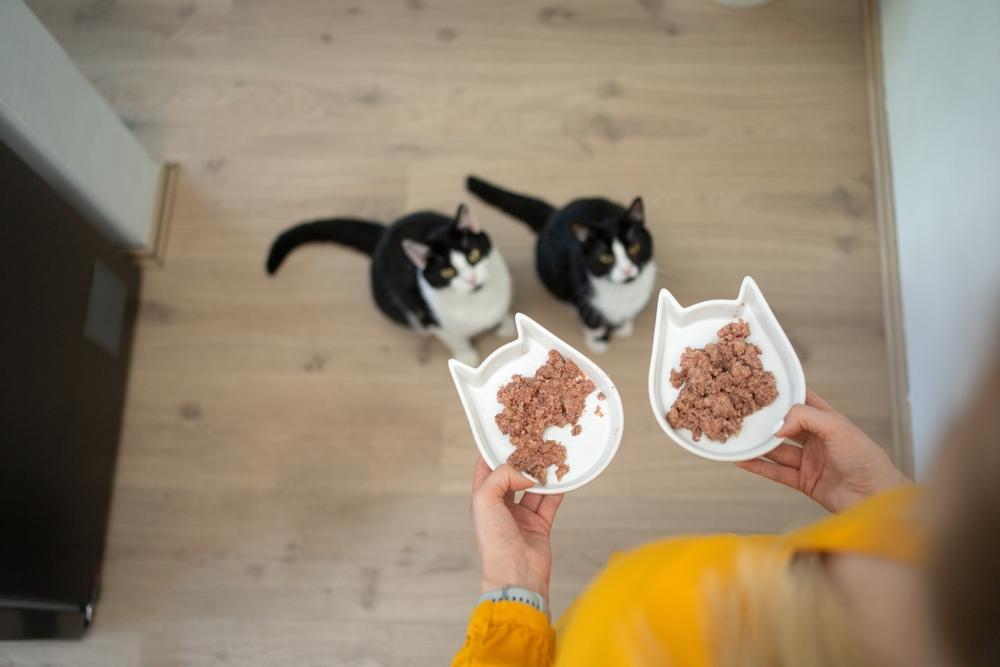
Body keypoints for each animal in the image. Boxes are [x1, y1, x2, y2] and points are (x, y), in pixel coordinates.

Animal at [266, 205, 512, 366]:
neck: (478, 300)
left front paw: (505, 325)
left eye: (473, 255)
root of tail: (384, 234)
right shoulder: (432, 318)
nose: (471, 279)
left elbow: (500, 314)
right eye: (447, 272)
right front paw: (467, 356)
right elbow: (454, 337)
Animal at [466, 177, 656, 354]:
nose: (627, 270)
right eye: (606, 257)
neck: (624, 292)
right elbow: (593, 322)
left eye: (634, 248)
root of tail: (554, 214)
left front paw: (623, 327)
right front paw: (598, 343)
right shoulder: (582, 290)